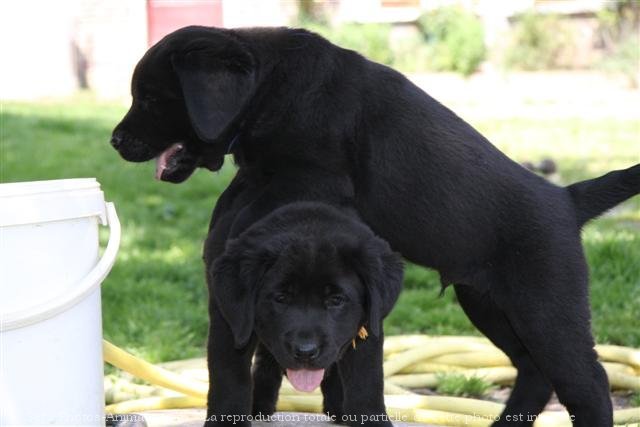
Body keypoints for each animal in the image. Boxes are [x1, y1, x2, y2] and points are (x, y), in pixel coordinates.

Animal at [208, 201, 402, 427]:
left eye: (336, 300)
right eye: (281, 298)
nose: (305, 352)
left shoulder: (368, 325)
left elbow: (366, 381)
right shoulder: (229, 320)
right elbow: (229, 377)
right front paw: (226, 421)